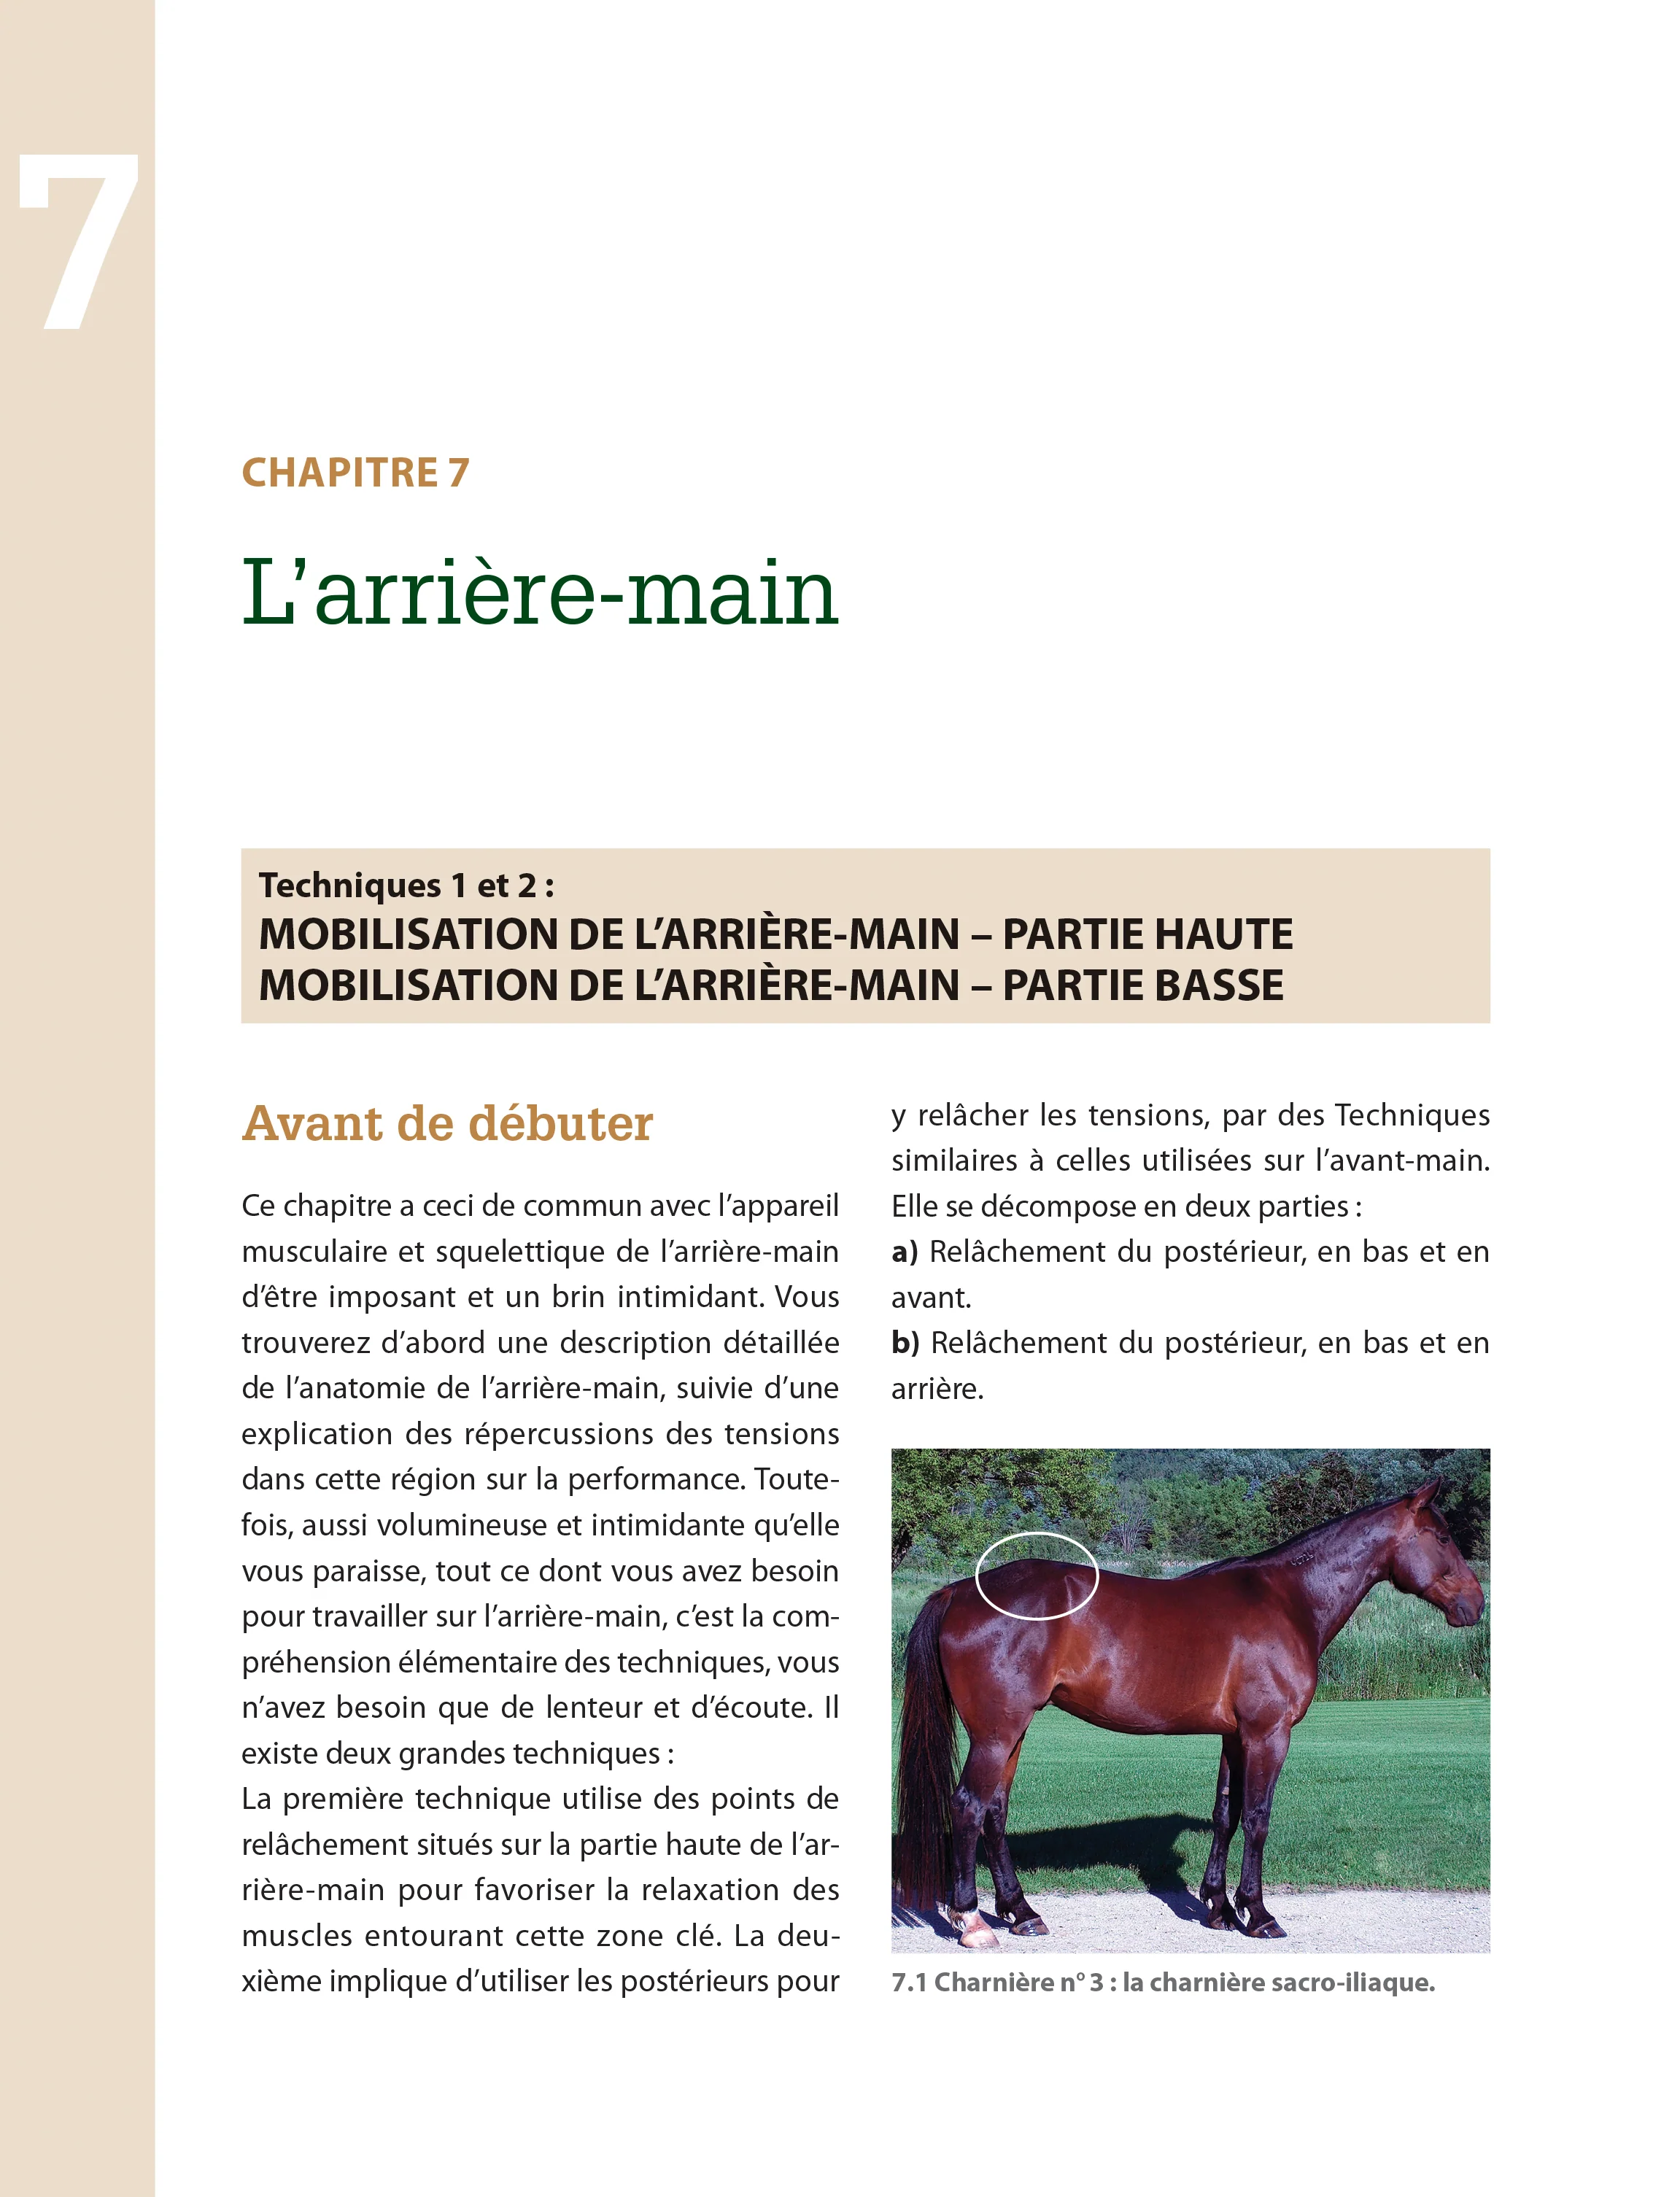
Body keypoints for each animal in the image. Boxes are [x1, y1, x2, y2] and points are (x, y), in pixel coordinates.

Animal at [894, 1480, 1483, 1947]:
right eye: (1442, 1538)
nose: (1475, 1605)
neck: (1288, 1600)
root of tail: (958, 1592)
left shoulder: (1235, 1736)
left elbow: (1226, 1814)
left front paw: (1219, 1908)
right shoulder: (1269, 1734)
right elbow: (1257, 1818)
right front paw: (1259, 1914)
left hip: (1010, 1734)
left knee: (995, 1812)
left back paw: (1021, 1913)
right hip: (996, 1734)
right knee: (969, 1808)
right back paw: (973, 1923)